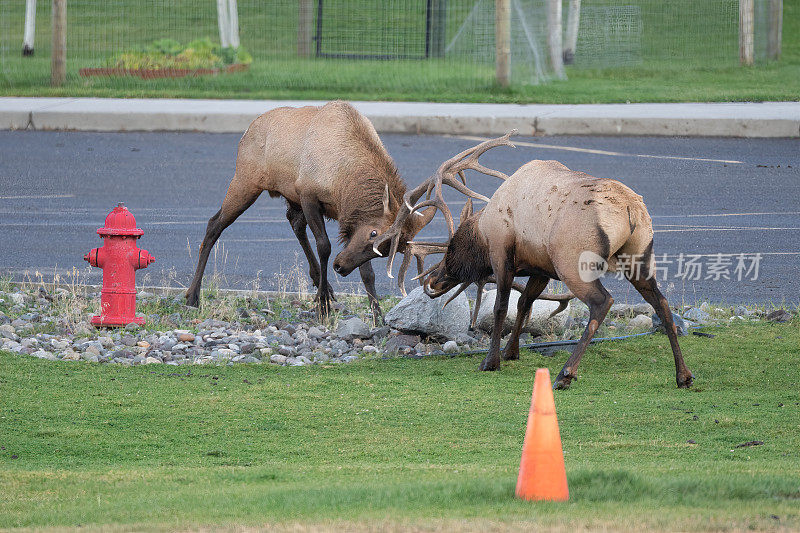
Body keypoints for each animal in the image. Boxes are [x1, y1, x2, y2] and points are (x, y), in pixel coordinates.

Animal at [184, 101, 434, 320]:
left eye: (386, 250)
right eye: (374, 233)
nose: (340, 267)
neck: (343, 180)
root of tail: (246, 132)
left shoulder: (346, 214)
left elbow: (367, 272)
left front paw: (377, 316)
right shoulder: (308, 194)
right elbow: (324, 246)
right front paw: (322, 307)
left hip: (286, 195)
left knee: (294, 222)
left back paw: (323, 283)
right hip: (245, 181)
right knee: (214, 224)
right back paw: (192, 296)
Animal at [382, 132, 692, 390]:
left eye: (452, 249)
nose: (432, 282)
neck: (484, 230)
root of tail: (630, 209)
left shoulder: (502, 254)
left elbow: (501, 307)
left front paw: (490, 361)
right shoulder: (541, 267)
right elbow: (524, 303)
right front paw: (511, 351)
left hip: (573, 262)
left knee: (602, 301)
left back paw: (565, 374)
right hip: (639, 256)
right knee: (662, 303)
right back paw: (683, 375)